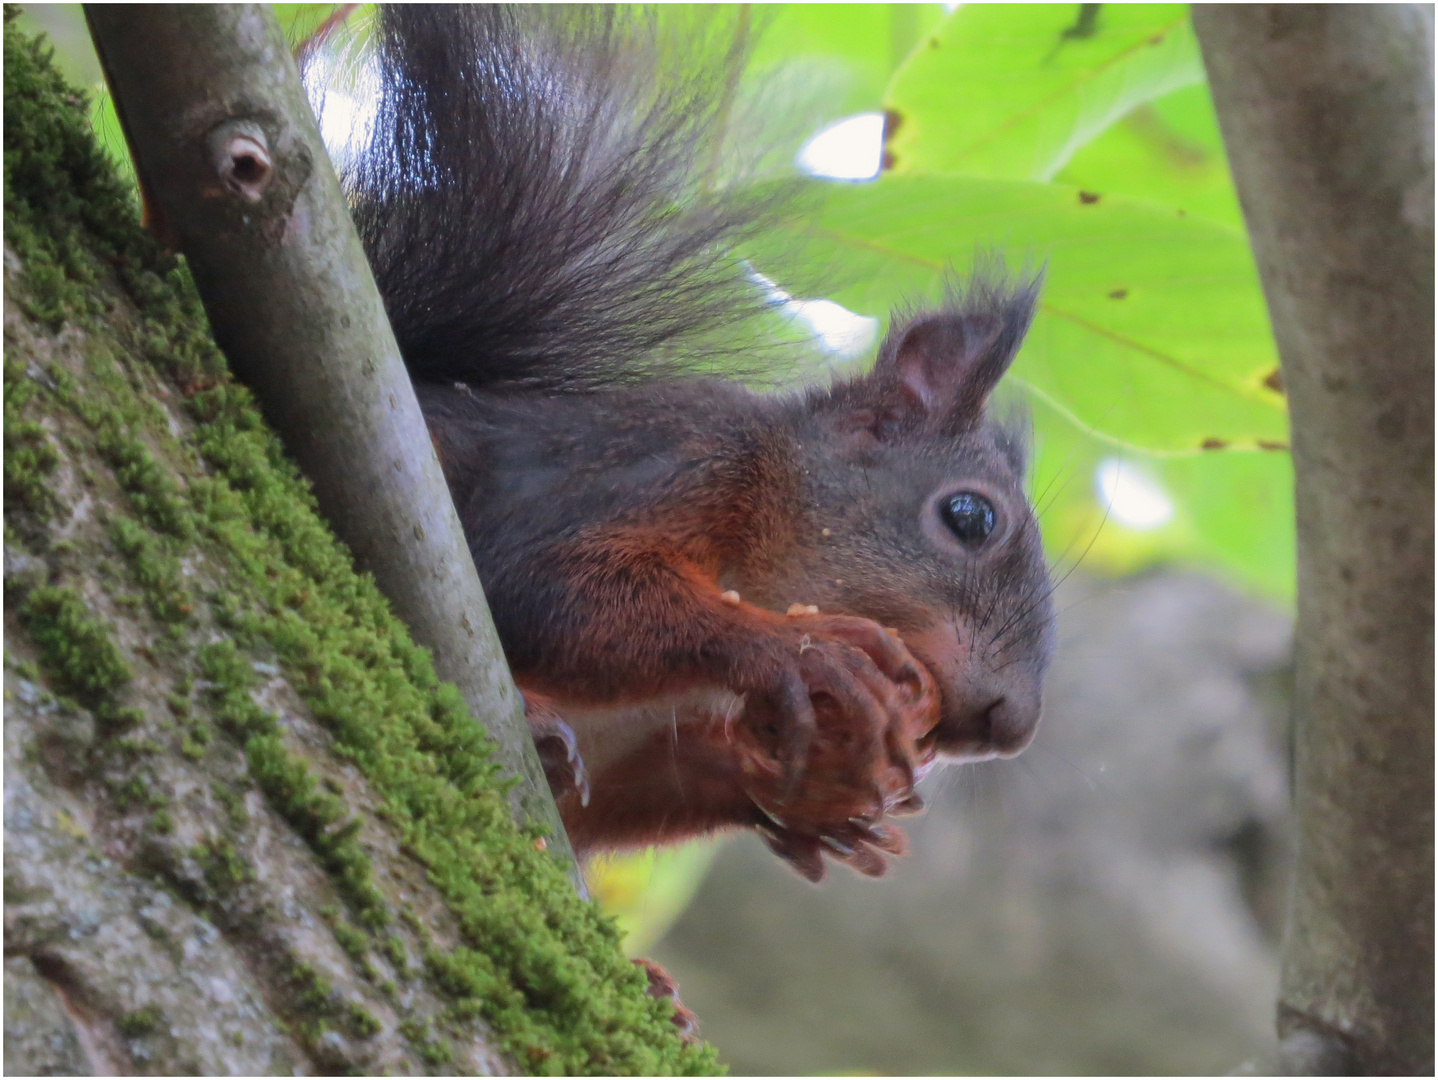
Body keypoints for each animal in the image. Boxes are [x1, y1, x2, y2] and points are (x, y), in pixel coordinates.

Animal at [309, 6, 1058, 885]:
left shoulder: (639, 738)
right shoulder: (660, 457)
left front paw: (808, 802)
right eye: (970, 518)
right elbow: (539, 580)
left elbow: (640, 787)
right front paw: (797, 649)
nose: (1011, 727)